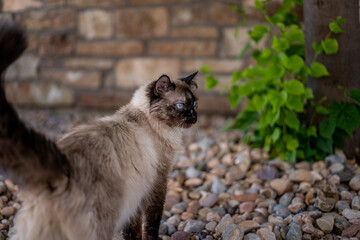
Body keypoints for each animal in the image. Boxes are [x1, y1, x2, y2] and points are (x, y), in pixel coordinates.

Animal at [0, 21, 197, 239]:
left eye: (194, 105)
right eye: (181, 106)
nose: (194, 118)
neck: (151, 122)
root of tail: (61, 164)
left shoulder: (137, 196)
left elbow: (133, 229)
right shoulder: (157, 184)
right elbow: (152, 224)